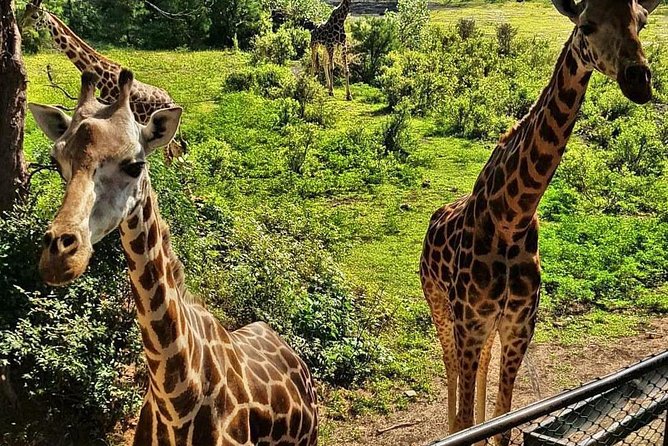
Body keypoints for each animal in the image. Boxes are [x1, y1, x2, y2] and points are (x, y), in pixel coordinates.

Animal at [20, 0, 185, 162]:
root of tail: (172, 101)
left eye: (35, 15)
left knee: (170, 154)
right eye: (25, 11)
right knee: (177, 150)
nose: (22, 26)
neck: (102, 75)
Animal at [420, 0, 659, 443]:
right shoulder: (469, 322)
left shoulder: (517, 327)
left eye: (642, 22)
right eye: (586, 25)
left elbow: (502, 424)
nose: (639, 80)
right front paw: (462, 426)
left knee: (482, 369)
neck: (512, 216)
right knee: (450, 370)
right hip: (439, 305)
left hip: (485, 329)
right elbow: (465, 421)